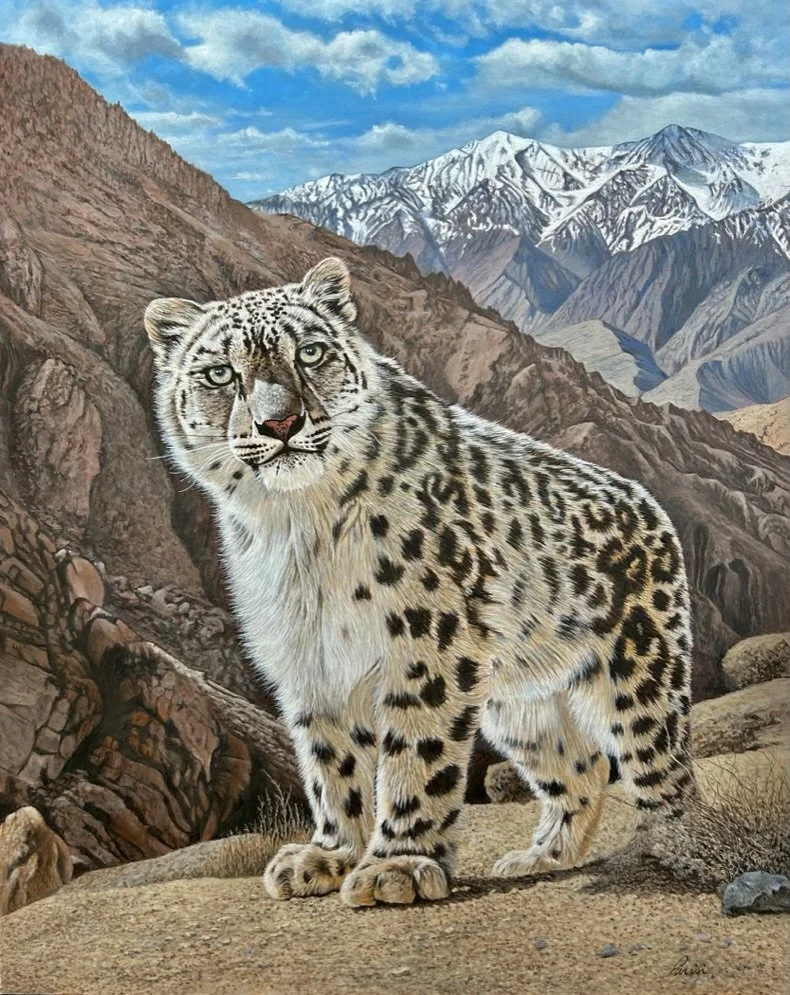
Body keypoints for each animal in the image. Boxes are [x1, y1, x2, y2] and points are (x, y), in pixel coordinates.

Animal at [145, 257, 695, 908]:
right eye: (219, 373)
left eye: (310, 352)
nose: (279, 422)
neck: (300, 528)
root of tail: (650, 505)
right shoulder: (308, 659)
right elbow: (331, 764)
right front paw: (329, 856)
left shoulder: (428, 643)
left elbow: (416, 753)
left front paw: (396, 866)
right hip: (519, 704)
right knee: (580, 763)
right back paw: (538, 857)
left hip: (640, 669)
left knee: (663, 767)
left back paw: (669, 849)